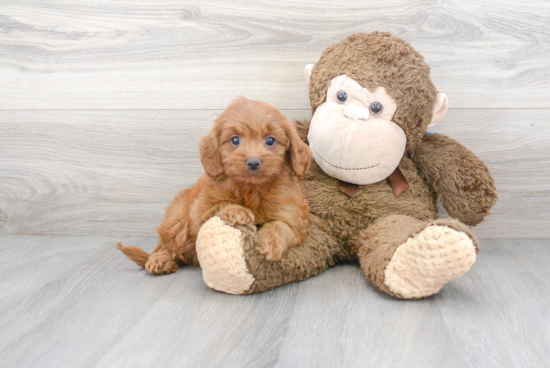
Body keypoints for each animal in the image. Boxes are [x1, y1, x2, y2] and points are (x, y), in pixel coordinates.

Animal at [118, 96, 312, 274]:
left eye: (270, 141)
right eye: (235, 140)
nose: (253, 162)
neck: (251, 189)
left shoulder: (293, 219)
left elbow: (281, 226)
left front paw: (271, 244)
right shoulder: (199, 212)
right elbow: (221, 203)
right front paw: (237, 211)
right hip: (177, 217)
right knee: (166, 244)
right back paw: (159, 260)